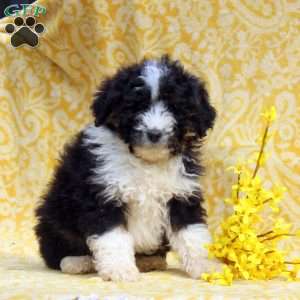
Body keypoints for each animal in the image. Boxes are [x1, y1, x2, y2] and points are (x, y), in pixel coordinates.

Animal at [34, 55, 220, 282]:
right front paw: (120, 270)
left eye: (175, 108)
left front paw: (206, 266)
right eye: (136, 107)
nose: (154, 133)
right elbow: (113, 238)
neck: (147, 162)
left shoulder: (181, 195)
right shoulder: (102, 197)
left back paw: (149, 260)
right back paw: (77, 262)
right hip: (55, 214)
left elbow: (192, 234)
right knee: (55, 249)